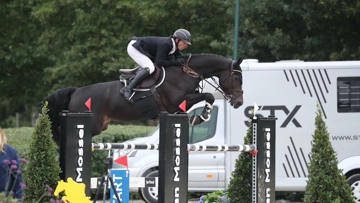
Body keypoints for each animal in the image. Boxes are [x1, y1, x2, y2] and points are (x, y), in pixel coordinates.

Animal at [43, 53, 243, 146]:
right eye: (237, 77)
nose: (239, 102)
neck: (185, 72)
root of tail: (77, 91)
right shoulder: (176, 100)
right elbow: (208, 96)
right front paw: (202, 116)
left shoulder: (176, 107)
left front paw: (196, 117)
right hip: (91, 123)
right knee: (61, 129)